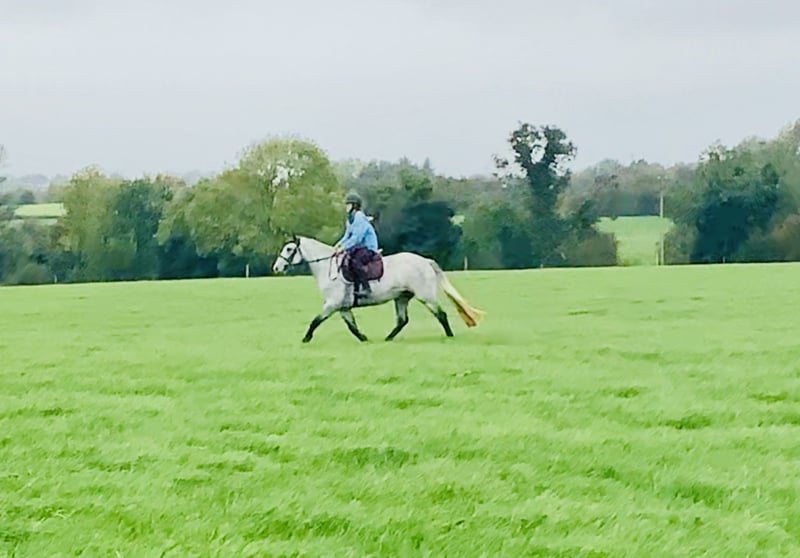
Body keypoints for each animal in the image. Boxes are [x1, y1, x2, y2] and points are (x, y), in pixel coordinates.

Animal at [272, 235, 485, 343]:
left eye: (289, 249)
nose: (276, 268)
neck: (328, 268)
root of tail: (425, 261)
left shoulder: (332, 304)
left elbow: (315, 321)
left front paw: (305, 338)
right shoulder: (343, 307)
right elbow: (352, 326)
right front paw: (364, 338)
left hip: (425, 296)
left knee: (441, 314)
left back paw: (449, 336)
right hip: (401, 298)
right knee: (402, 320)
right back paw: (388, 338)